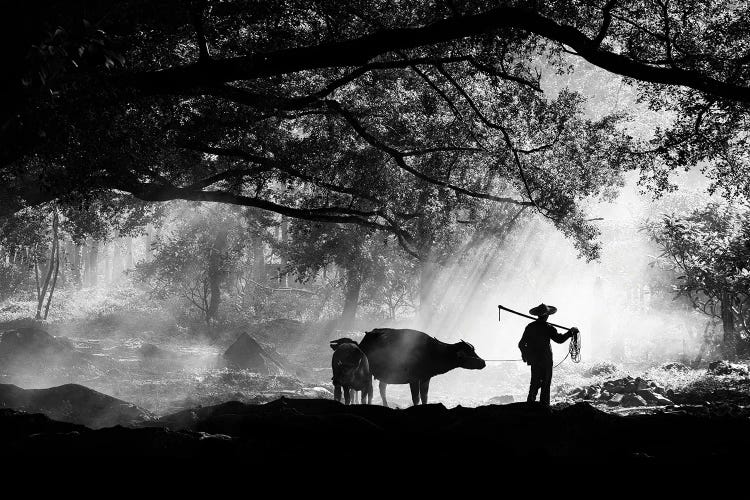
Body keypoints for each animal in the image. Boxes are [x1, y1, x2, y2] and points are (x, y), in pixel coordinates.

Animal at [358, 328, 488, 406]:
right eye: (469, 353)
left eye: (474, 351)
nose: (483, 362)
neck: (432, 352)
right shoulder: (414, 380)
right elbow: (416, 398)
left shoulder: (426, 378)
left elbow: (425, 397)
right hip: (367, 373)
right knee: (369, 391)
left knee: (382, 389)